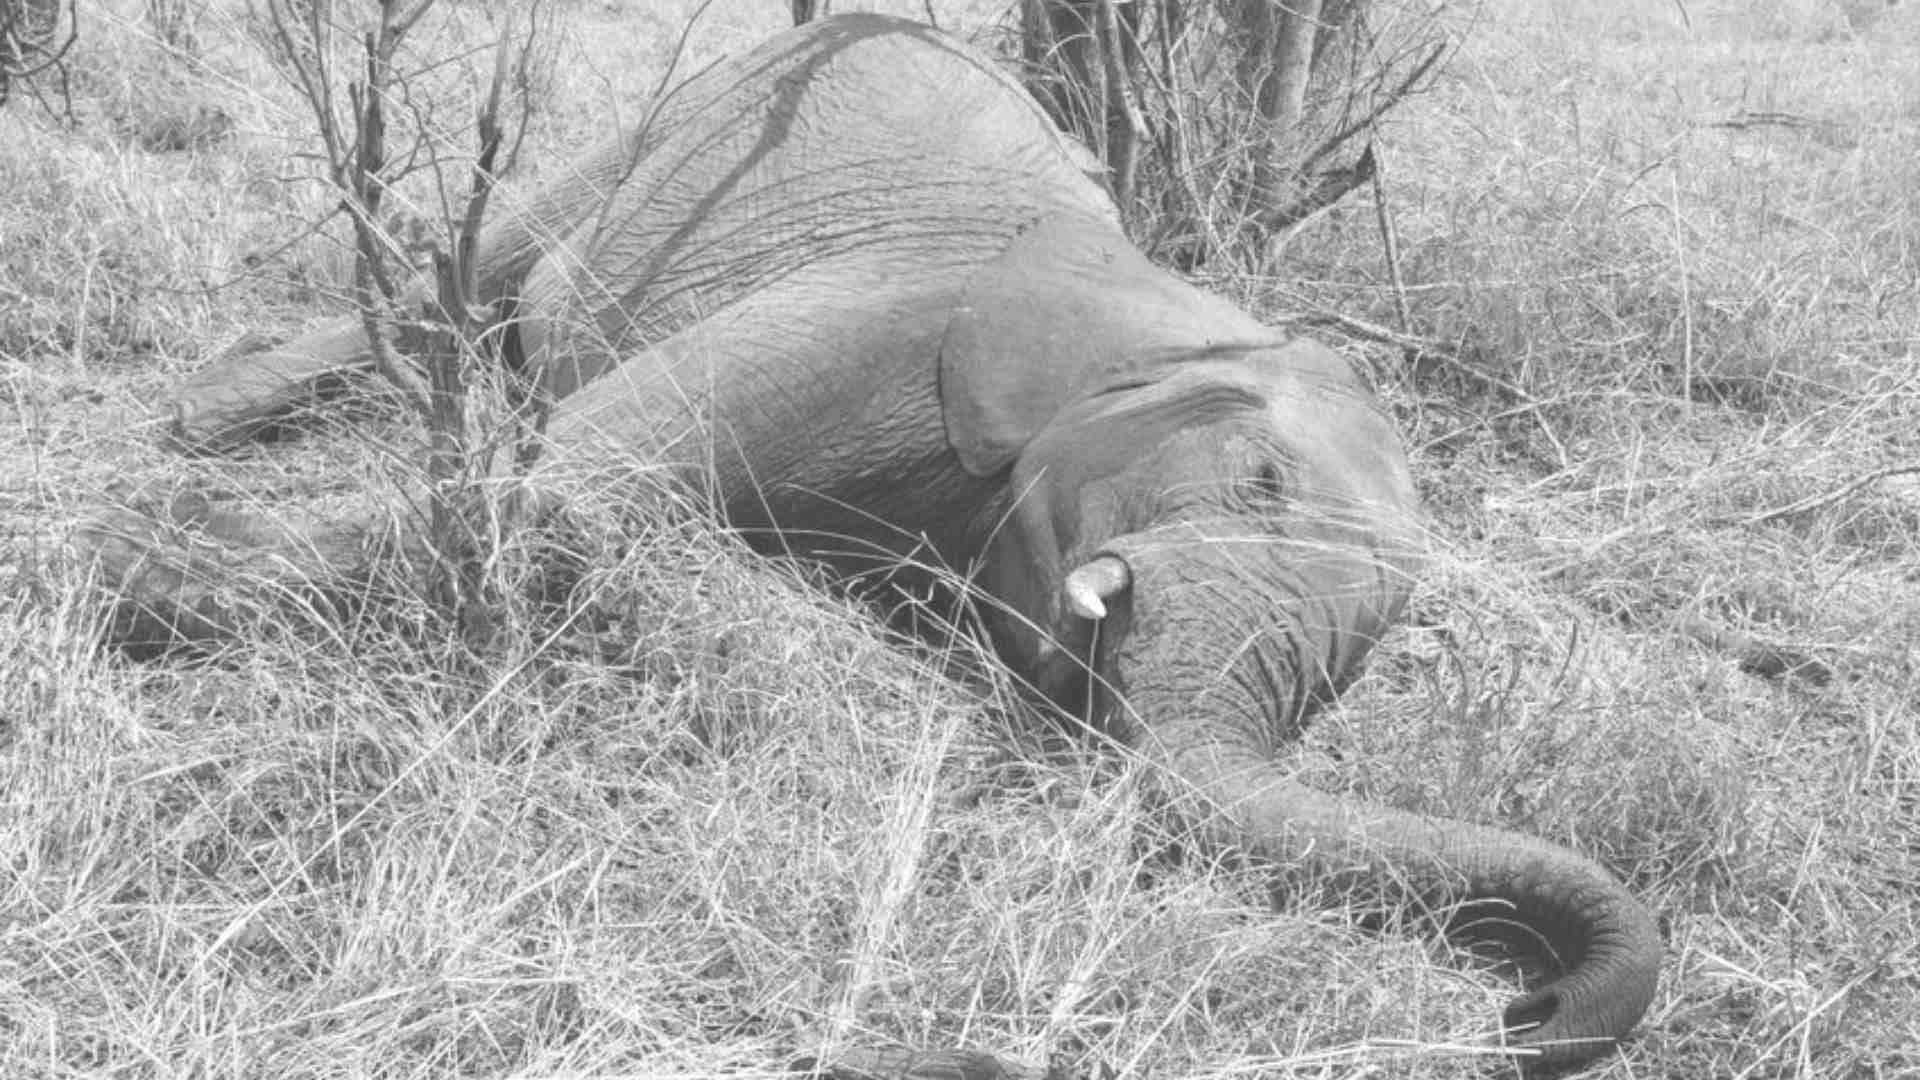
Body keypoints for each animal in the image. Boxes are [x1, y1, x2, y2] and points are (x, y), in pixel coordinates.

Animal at [95, 12, 1661, 1072]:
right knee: (473, 270)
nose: (1522, 1006)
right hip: (692, 113)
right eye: (1261, 478)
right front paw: (134, 565)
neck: (1175, 310)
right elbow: (574, 488)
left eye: (1357, 664)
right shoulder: (894, 318)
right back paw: (195, 428)